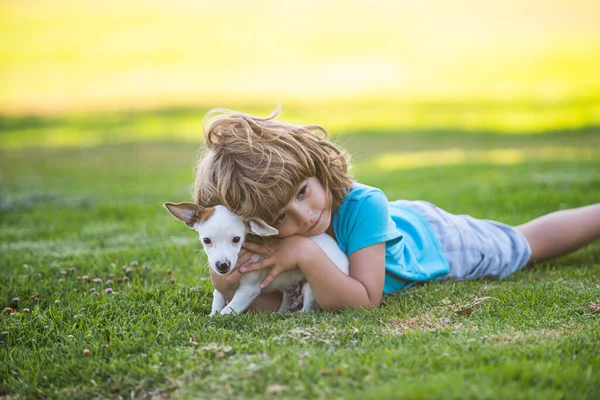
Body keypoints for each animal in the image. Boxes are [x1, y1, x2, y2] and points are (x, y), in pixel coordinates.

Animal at [164, 203, 352, 316]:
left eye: (236, 239)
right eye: (206, 240)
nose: (222, 265)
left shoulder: (248, 290)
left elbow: (227, 311)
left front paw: (215, 319)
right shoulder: (220, 285)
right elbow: (218, 300)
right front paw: (212, 314)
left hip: (315, 285)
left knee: (309, 307)